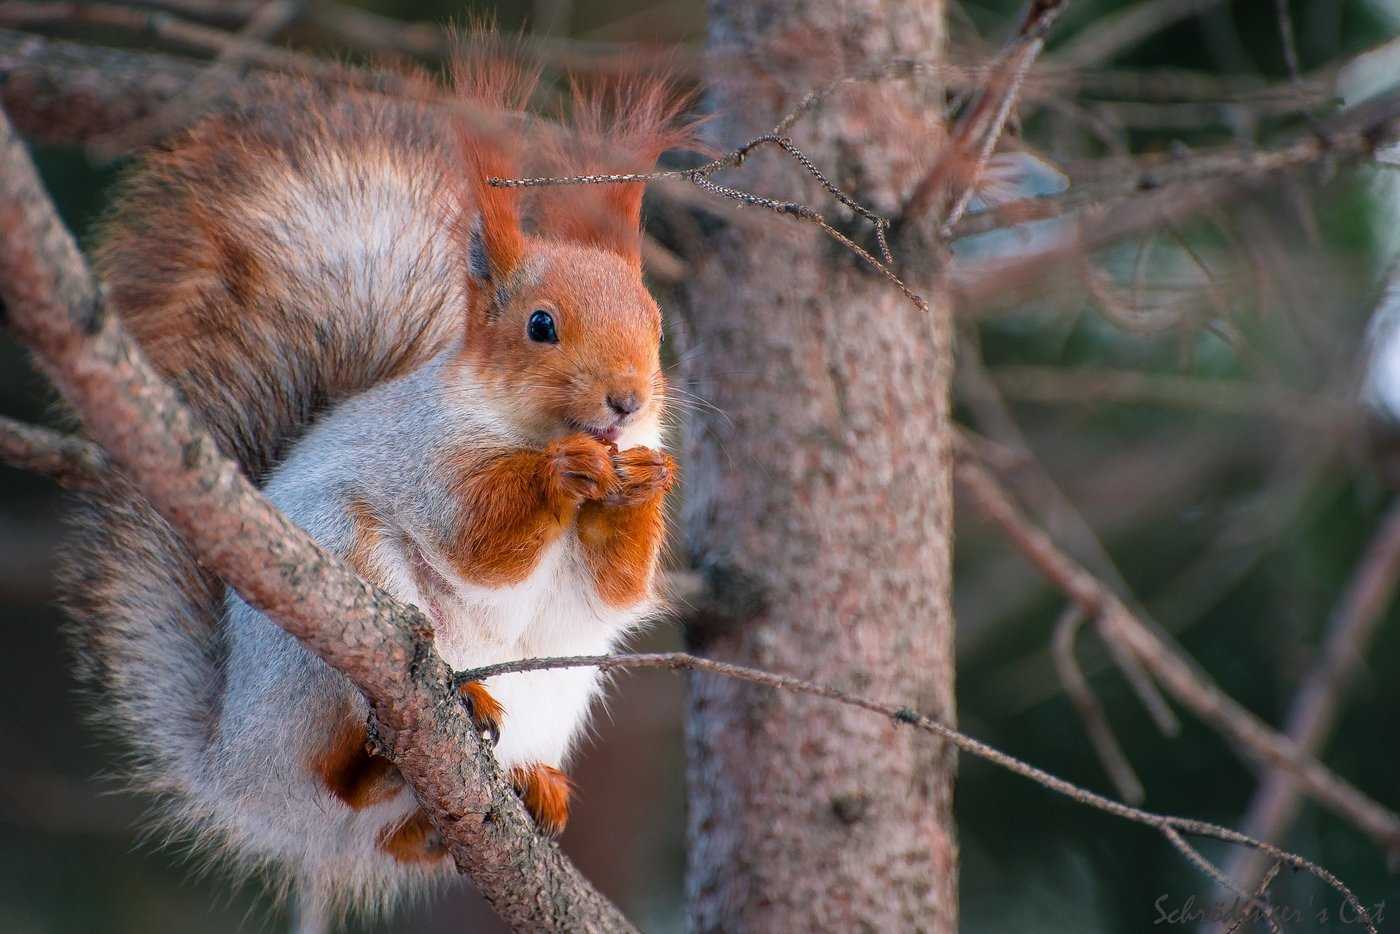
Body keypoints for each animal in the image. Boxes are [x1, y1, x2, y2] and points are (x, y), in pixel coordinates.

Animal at [66, 30, 700, 929]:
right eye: (541, 325)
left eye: (654, 324)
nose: (628, 402)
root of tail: (237, 776)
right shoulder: (425, 462)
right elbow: (479, 542)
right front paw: (563, 469)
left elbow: (616, 586)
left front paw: (646, 477)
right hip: (322, 647)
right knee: (337, 774)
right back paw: (402, 744)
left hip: (561, 685)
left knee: (401, 837)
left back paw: (528, 789)